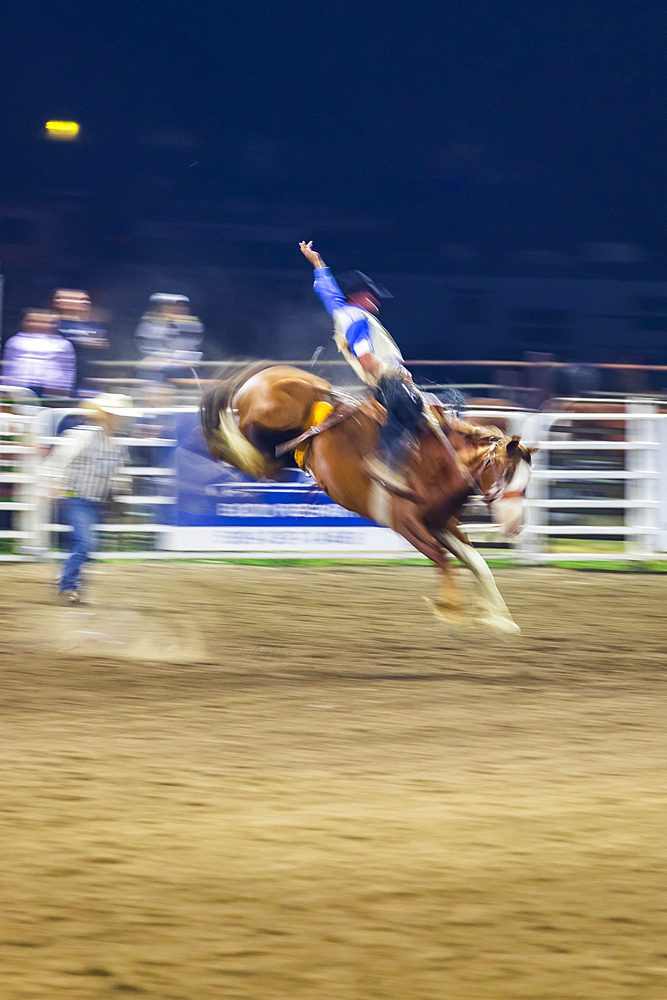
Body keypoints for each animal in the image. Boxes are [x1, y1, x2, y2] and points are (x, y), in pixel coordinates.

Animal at [201, 362, 536, 632]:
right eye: (507, 472)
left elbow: (478, 564)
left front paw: (499, 619)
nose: (516, 526)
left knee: (248, 456)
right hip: (267, 423)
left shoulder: (442, 522)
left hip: (277, 461)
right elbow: (442, 560)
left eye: (527, 481)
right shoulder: (406, 523)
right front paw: (451, 612)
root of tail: (264, 375)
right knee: (238, 438)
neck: (434, 462)